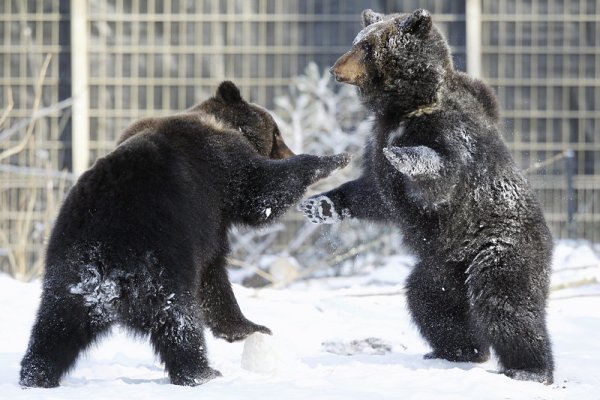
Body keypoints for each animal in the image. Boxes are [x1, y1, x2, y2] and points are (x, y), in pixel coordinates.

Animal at [19, 81, 352, 388]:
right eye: (277, 134)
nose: (286, 150)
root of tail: (105, 277)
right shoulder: (219, 171)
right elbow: (262, 191)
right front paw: (334, 158)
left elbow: (213, 280)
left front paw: (248, 327)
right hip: (160, 265)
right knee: (179, 322)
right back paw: (201, 373)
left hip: (66, 276)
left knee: (53, 329)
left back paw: (35, 375)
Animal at [300, 10, 552, 384]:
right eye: (358, 41)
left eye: (366, 47)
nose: (335, 68)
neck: (405, 106)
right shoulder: (378, 140)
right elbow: (374, 193)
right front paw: (319, 204)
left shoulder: (448, 133)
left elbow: (439, 176)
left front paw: (404, 156)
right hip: (441, 267)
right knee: (429, 300)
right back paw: (458, 350)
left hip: (500, 248)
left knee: (504, 303)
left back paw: (529, 369)